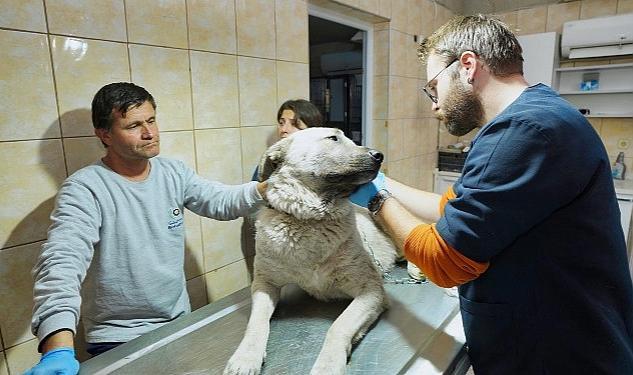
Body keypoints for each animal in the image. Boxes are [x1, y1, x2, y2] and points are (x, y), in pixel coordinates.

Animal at [223, 128, 400, 374]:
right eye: (333, 138)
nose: (379, 155)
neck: (310, 221)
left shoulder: (371, 290)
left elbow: (339, 326)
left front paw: (328, 364)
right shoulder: (264, 283)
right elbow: (255, 322)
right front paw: (246, 356)